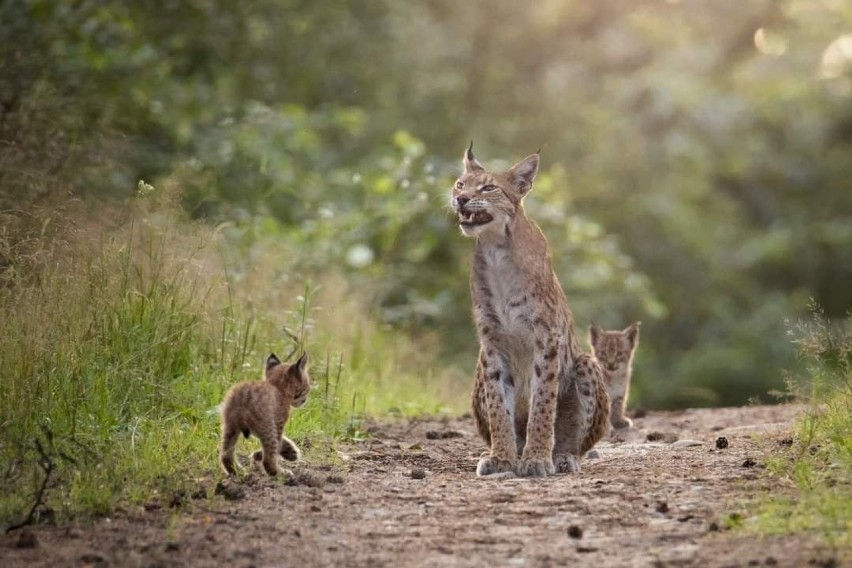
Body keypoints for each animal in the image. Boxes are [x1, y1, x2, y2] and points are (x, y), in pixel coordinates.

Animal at [452, 144, 612, 478]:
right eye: (460, 184)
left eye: (488, 188)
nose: (460, 199)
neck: (496, 248)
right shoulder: (492, 342)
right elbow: (499, 404)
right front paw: (502, 457)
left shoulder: (546, 339)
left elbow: (543, 403)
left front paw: (537, 458)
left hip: (586, 361)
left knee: (578, 442)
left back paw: (562, 456)